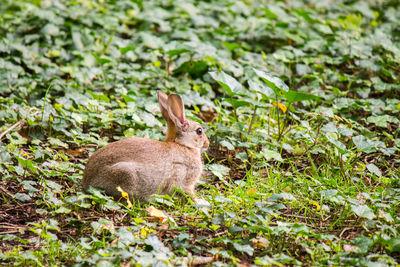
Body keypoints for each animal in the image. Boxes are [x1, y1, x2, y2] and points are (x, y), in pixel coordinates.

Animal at [83, 91, 211, 202]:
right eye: (199, 131)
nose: (207, 143)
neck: (182, 144)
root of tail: (87, 182)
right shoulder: (182, 179)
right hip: (127, 174)